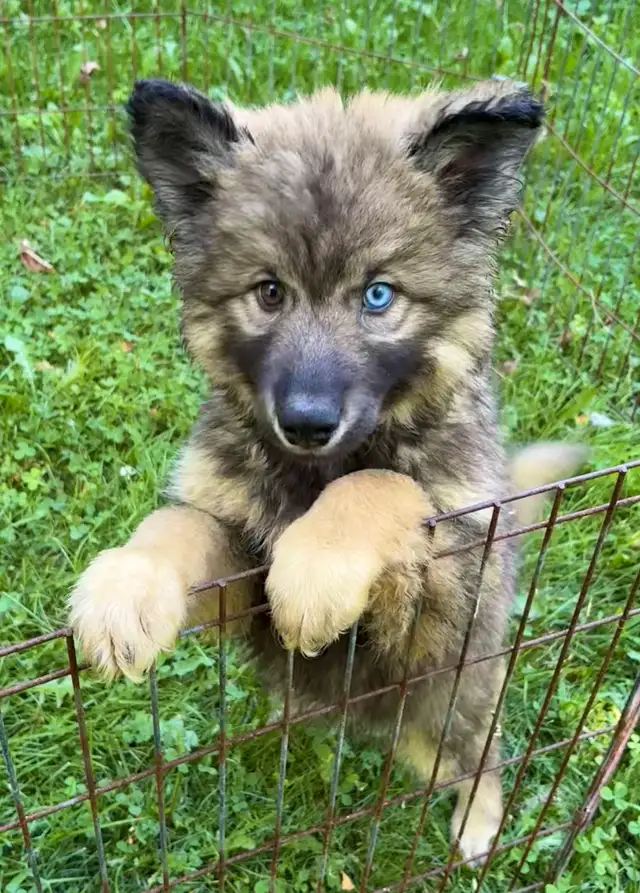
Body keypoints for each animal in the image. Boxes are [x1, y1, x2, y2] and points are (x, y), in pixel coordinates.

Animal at [69, 78, 584, 862]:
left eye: (378, 295)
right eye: (269, 291)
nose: (306, 422)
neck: (312, 472)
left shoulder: (441, 594)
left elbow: (381, 483)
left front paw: (317, 570)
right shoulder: (238, 572)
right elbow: (178, 522)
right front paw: (125, 588)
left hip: (460, 689)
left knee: (485, 754)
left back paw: (477, 824)